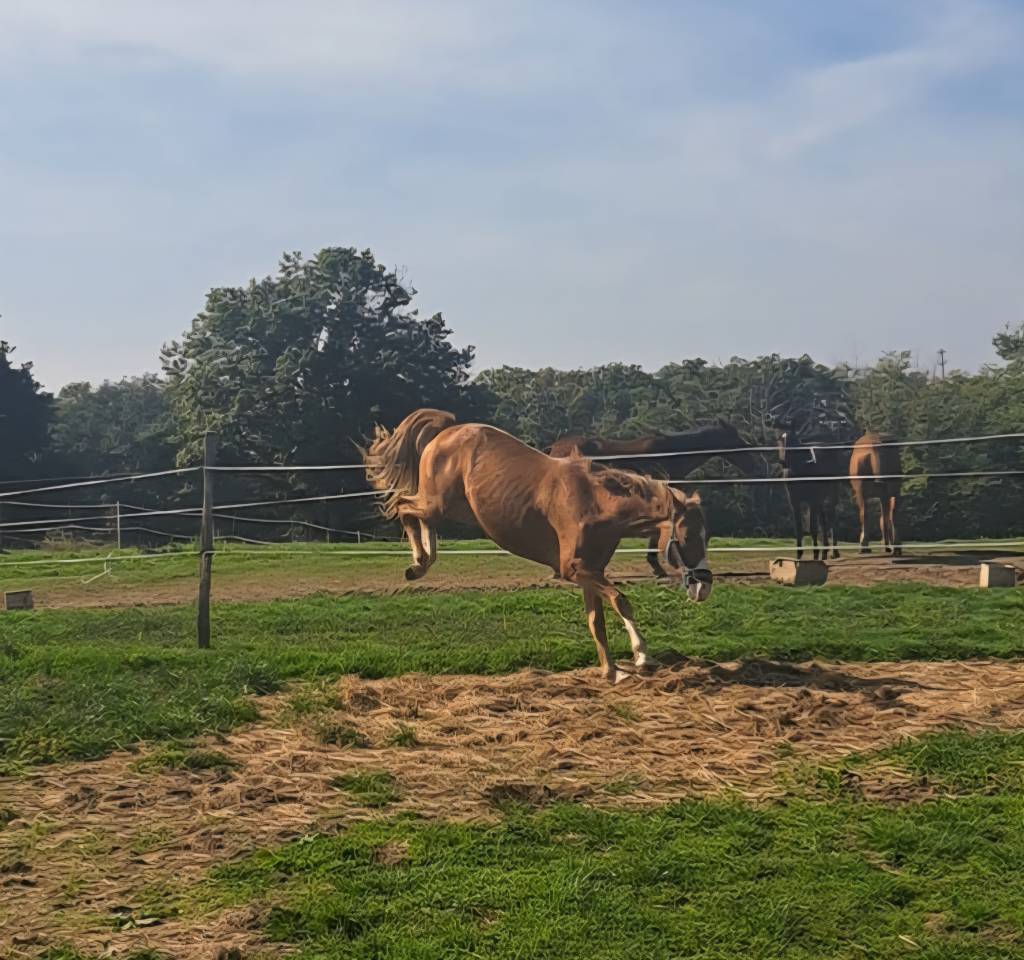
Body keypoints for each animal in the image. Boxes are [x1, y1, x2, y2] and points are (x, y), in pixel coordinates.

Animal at [364, 409, 713, 683]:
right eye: (686, 538)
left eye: (706, 536)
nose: (704, 587)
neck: (595, 502)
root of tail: (447, 429)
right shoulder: (575, 569)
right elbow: (621, 601)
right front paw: (641, 658)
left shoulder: (590, 572)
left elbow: (596, 621)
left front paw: (611, 671)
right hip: (437, 501)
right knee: (404, 507)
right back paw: (418, 564)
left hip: (451, 506)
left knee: (416, 514)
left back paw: (422, 562)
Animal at [777, 430, 847, 561]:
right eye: (780, 440)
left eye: (794, 440)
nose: (783, 462)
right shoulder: (795, 502)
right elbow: (799, 528)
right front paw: (799, 554)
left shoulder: (812, 501)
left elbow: (812, 527)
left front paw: (815, 553)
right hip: (820, 501)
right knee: (824, 521)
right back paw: (825, 551)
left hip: (832, 494)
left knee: (831, 518)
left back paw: (834, 552)